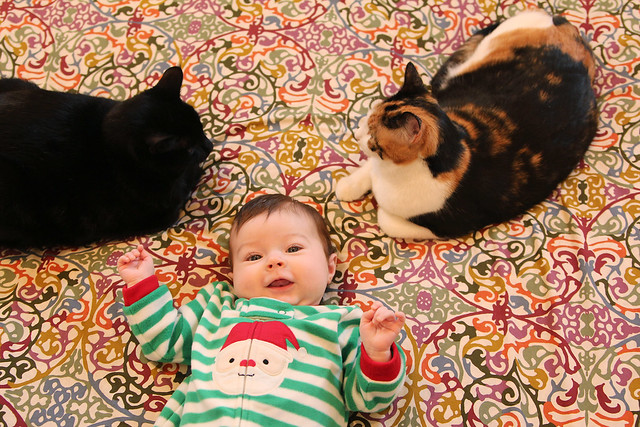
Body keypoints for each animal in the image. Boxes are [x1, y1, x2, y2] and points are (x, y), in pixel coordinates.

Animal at [0, 66, 213, 248]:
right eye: (190, 148)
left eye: (200, 127)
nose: (210, 145)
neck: (107, 142)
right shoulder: (162, 213)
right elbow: (185, 186)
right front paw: (195, 171)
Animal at [335, 9, 598, 240]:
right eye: (368, 118)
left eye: (372, 135)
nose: (356, 132)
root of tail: (564, 24)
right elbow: (367, 169)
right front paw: (347, 186)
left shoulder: (450, 225)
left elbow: (387, 220)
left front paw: (379, 205)